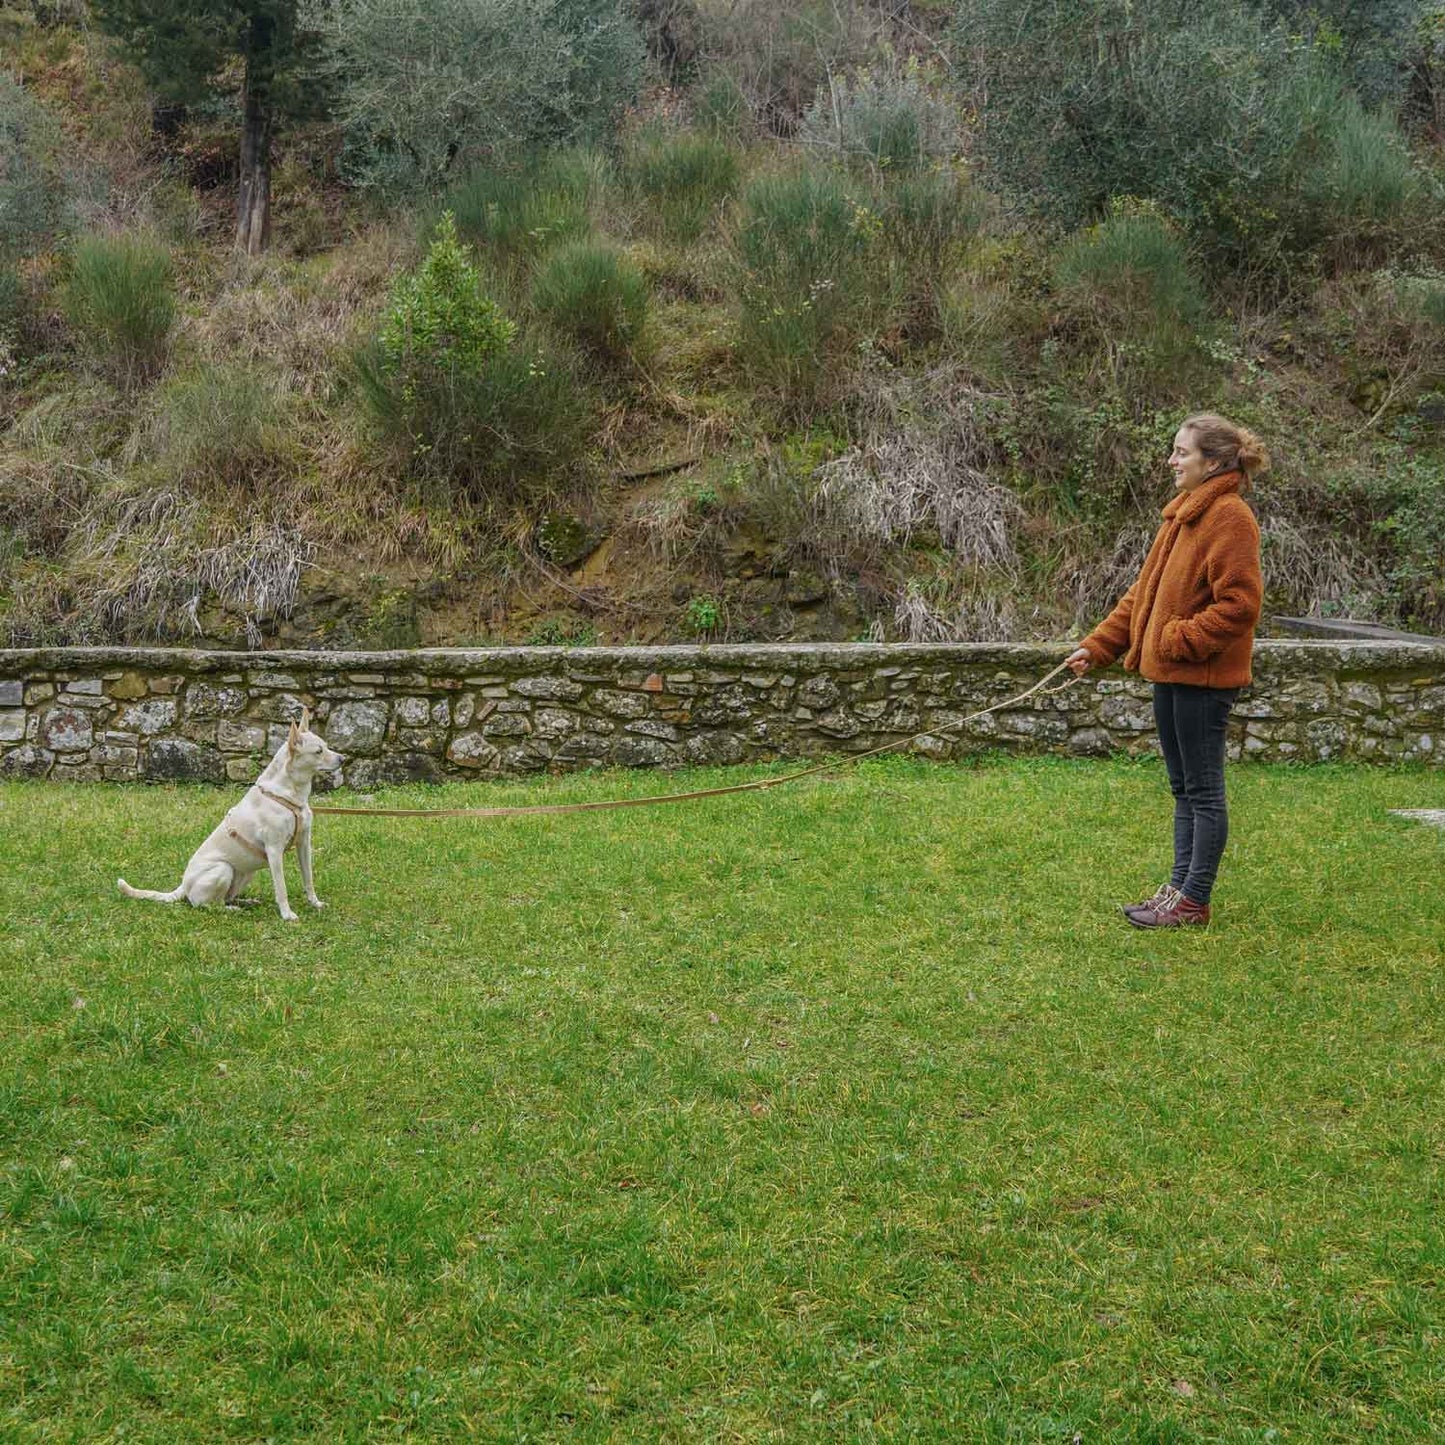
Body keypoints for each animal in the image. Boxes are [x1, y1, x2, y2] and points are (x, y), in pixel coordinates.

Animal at [117, 705, 342, 919]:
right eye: (319, 751)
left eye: (326, 746)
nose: (342, 758)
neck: (289, 795)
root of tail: (183, 886)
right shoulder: (274, 850)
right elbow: (281, 888)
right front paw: (287, 915)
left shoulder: (304, 843)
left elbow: (308, 878)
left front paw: (315, 903)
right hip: (223, 869)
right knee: (207, 905)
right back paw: (233, 910)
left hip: (246, 871)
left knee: (226, 898)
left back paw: (246, 902)